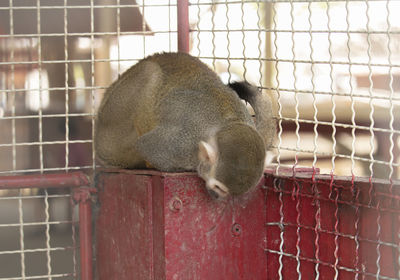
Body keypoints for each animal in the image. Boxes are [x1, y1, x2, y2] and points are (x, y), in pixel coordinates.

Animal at [94, 52, 276, 197]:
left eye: (226, 192)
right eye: (218, 187)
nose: (216, 196)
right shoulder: (180, 148)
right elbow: (146, 145)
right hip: (112, 131)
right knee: (149, 72)